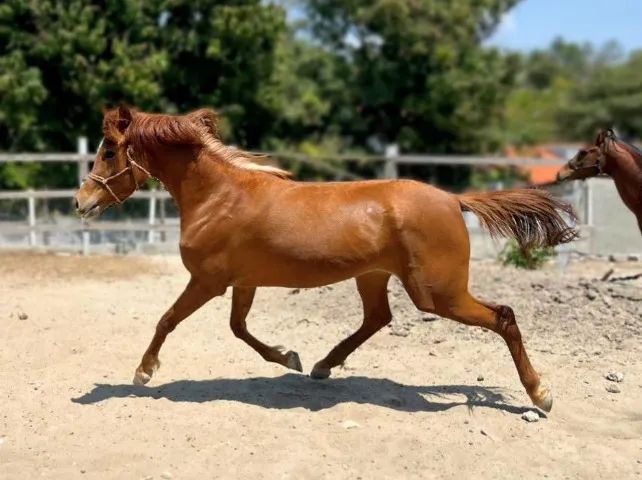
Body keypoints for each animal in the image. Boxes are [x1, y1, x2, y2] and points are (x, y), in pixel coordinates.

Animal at [75, 105, 578, 412]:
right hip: (375, 277)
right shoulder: (242, 282)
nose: (82, 203)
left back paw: (541, 394)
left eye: (109, 151)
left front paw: (143, 372)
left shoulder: (207, 282)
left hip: (438, 293)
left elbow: (167, 320)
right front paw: (290, 357)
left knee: (503, 316)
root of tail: (455, 199)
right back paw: (321, 366)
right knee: (377, 318)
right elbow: (239, 329)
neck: (219, 197)